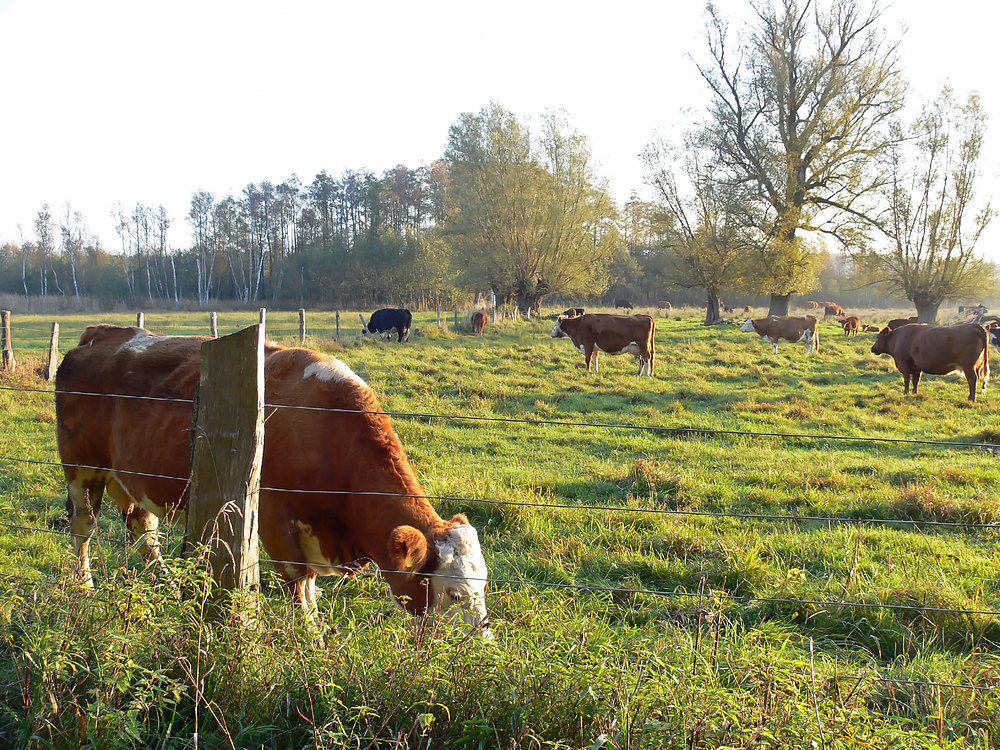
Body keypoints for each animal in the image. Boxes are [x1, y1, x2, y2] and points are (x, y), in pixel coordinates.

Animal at [54, 326, 492, 636]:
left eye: (485, 584)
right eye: (454, 593)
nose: (481, 645)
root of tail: (103, 333)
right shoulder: (276, 522)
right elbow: (301, 589)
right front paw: (312, 644)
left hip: (132, 479)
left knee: (143, 530)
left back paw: (169, 587)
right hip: (82, 467)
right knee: (84, 528)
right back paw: (84, 588)